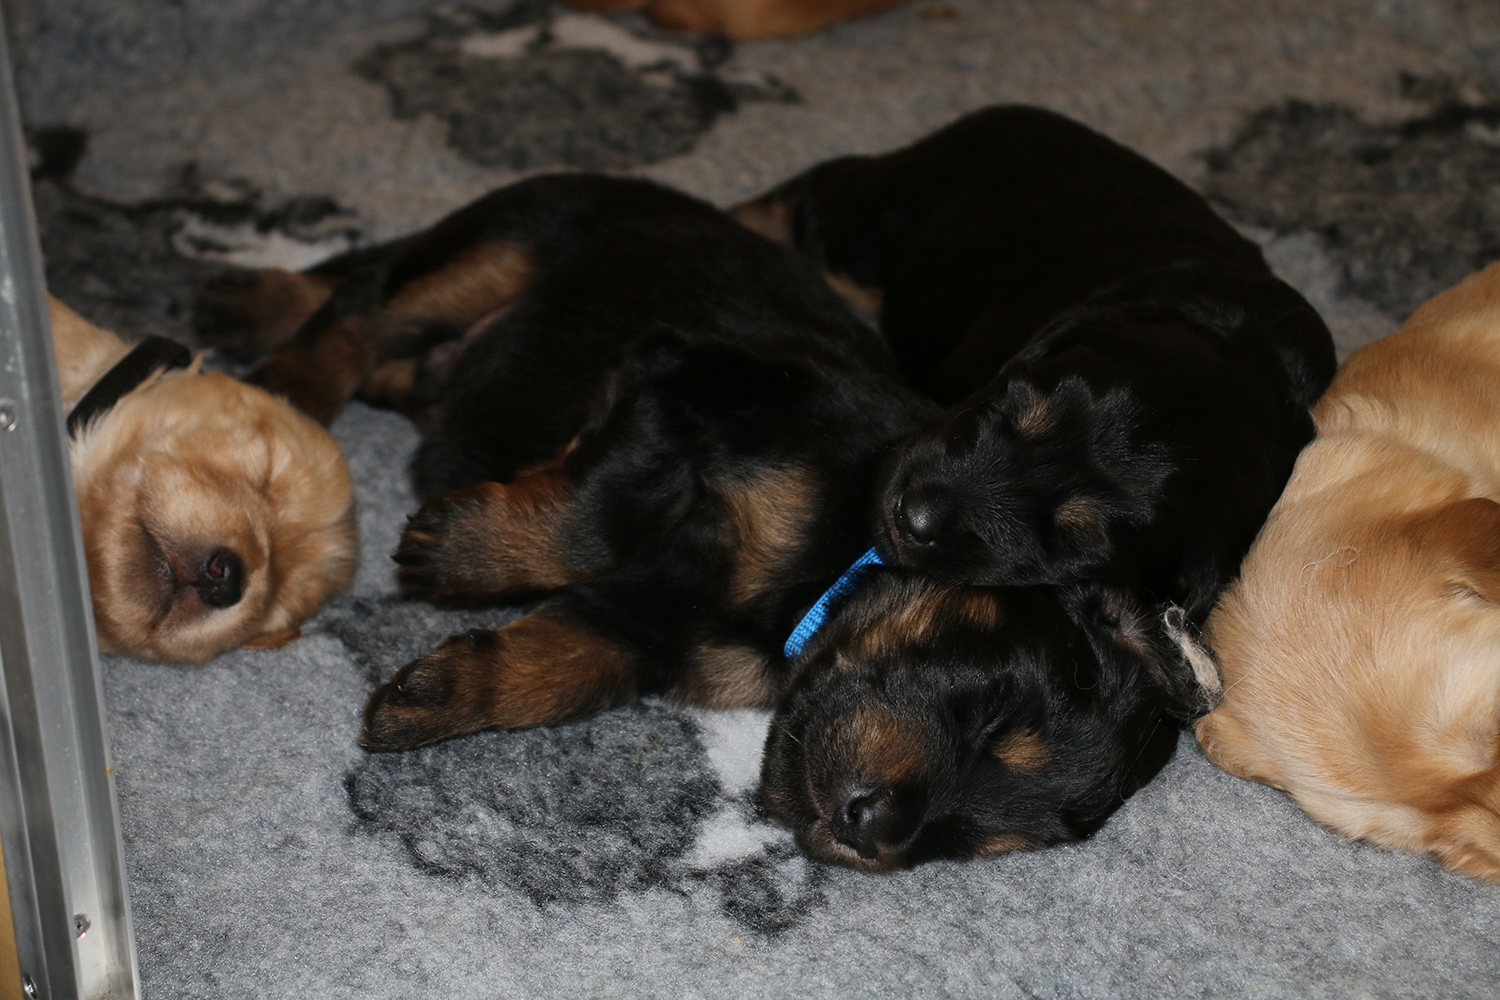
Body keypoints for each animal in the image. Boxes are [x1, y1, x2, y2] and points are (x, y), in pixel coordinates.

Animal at [195, 170, 1204, 870]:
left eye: (977, 838)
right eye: (995, 715)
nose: (878, 833)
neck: (825, 572)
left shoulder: (650, 629)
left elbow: (557, 663)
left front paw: (434, 694)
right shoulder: (692, 383)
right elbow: (596, 515)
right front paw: (456, 549)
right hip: (511, 244)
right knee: (358, 310)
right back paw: (276, 382)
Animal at [735, 105, 1338, 626]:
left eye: (1071, 537)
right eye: (1014, 406)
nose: (913, 514)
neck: (1253, 367)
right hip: (875, 217)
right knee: (807, 197)